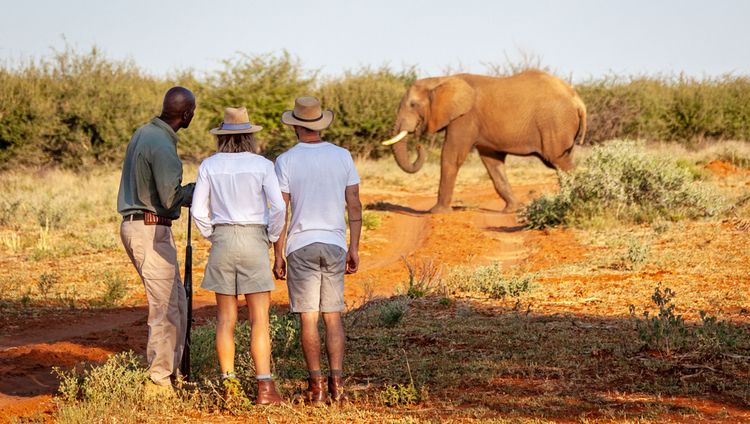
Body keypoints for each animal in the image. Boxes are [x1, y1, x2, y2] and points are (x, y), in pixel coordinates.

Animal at [384, 71, 592, 214]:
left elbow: (451, 156)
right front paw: (512, 210)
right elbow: (492, 164)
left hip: (555, 123)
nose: (419, 146)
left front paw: (436, 212)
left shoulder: (465, 117)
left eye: (413, 105)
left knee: (560, 162)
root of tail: (578, 100)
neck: (441, 80)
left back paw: (573, 201)